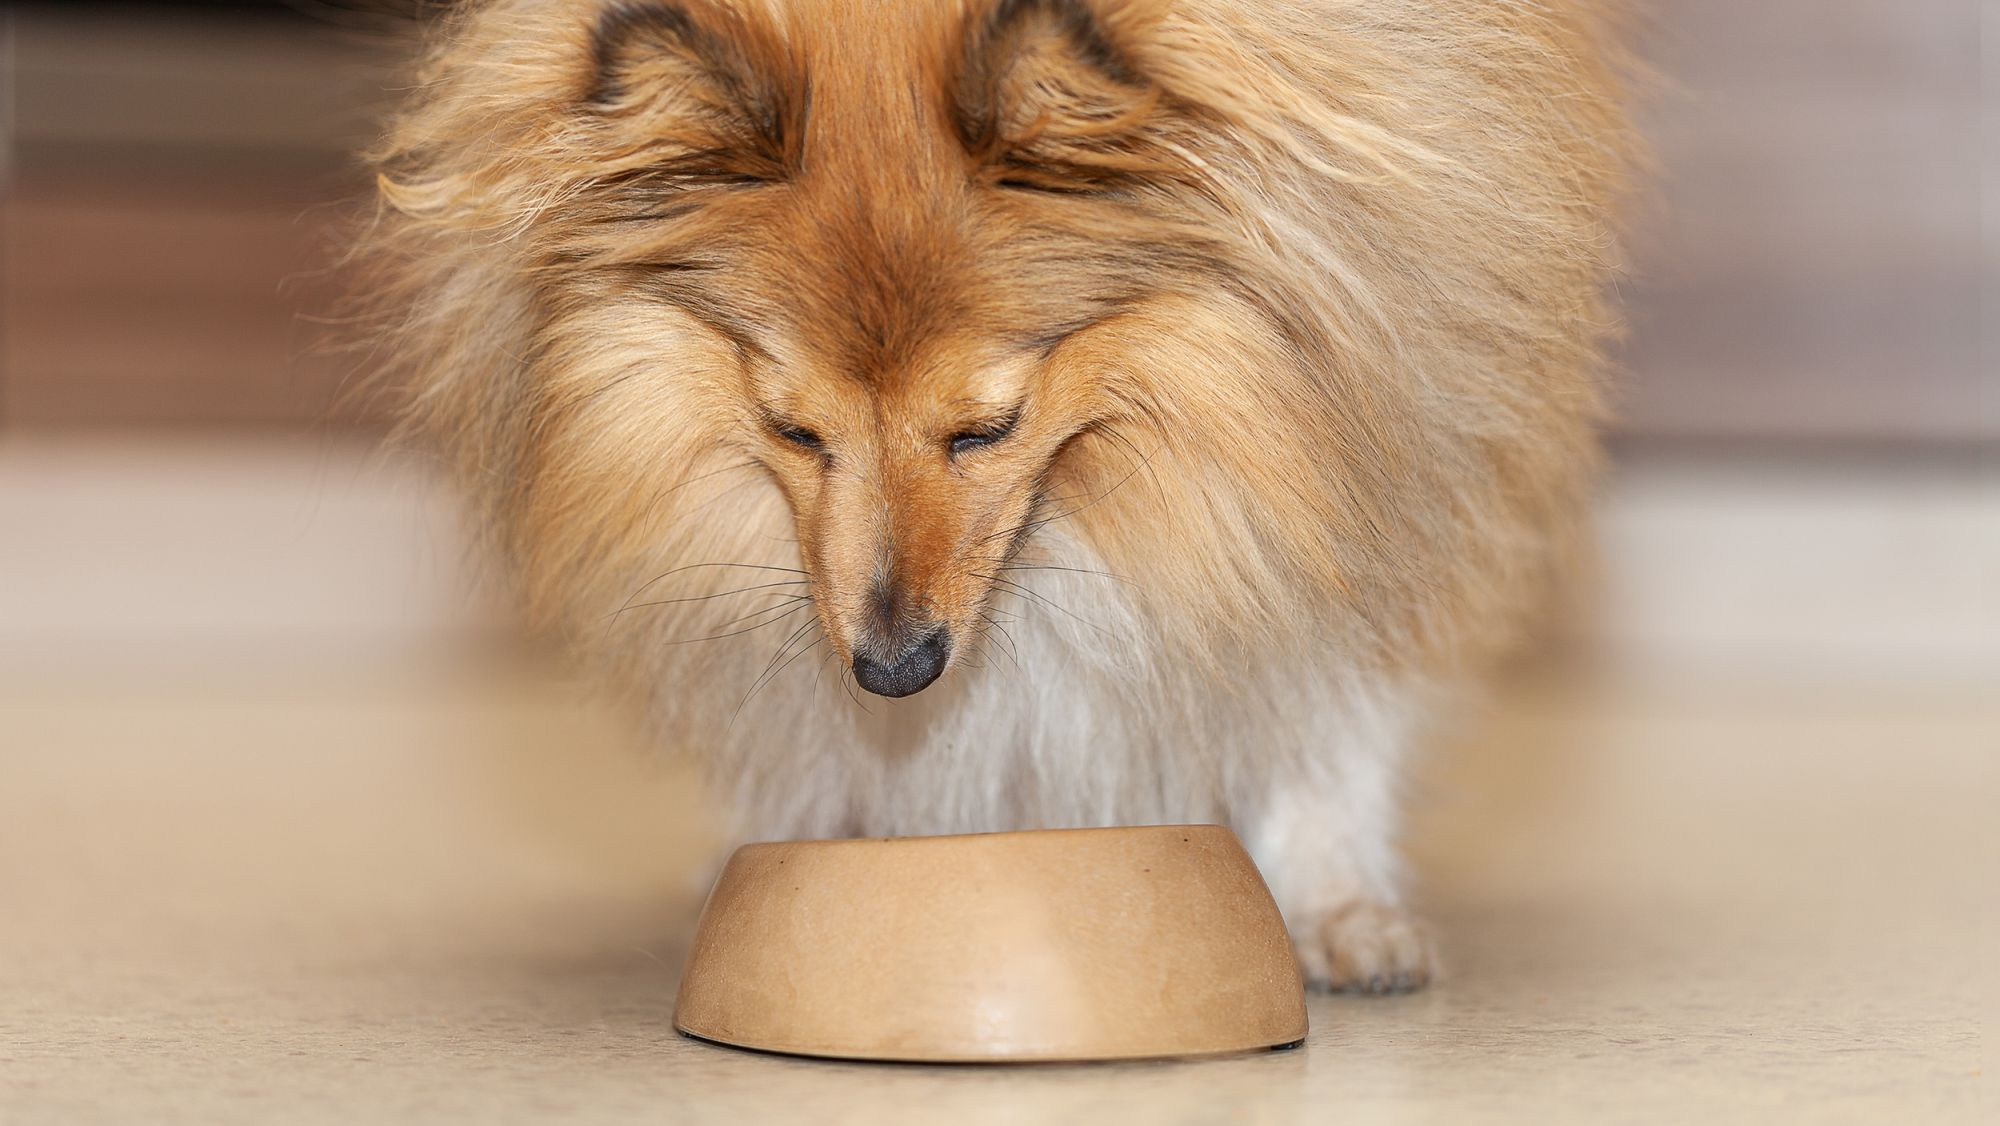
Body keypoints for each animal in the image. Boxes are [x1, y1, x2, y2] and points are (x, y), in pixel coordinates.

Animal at [364, 0, 1640, 992]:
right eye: (793, 430)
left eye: (985, 427)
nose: (891, 671)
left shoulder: (1372, 453)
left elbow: (1323, 702)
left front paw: (1336, 908)